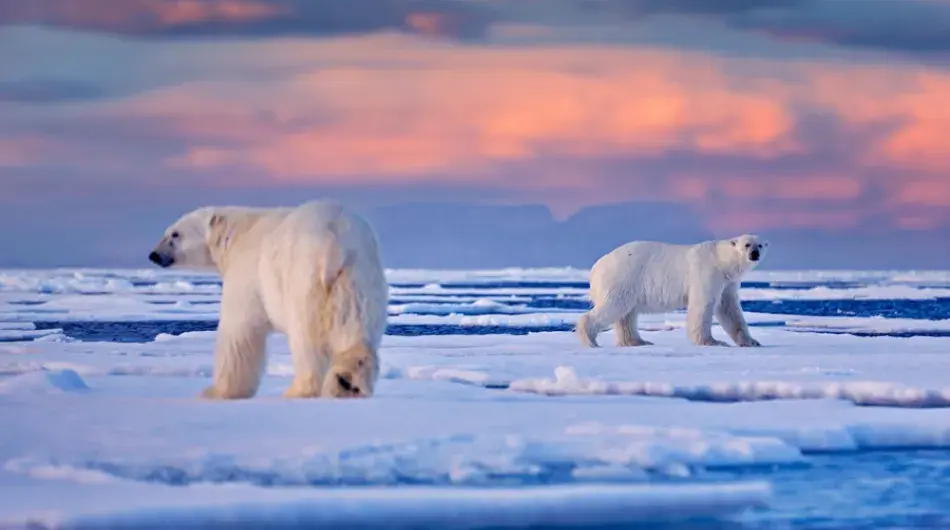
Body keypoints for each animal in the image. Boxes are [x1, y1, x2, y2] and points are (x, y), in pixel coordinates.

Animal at [148, 200, 389, 400]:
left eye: (175, 234)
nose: (154, 255)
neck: (235, 234)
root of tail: (335, 242)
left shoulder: (247, 272)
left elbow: (239, 332)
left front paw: (216, 392)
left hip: (302, 278)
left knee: (306, 340)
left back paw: (297, 390)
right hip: (358, 278)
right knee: (354, 326)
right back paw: (347, 383)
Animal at [575, 234, 768, 348]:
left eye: (760, 245)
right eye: (747, 245)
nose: (755, 254)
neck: (721, 259)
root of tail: (596, 266)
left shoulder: (728, 282)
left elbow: (730, 310)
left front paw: (752, 341)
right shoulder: (706, 273)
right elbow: (702, 305)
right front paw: (712, 341)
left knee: (626, 314)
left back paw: (638, 341)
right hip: (623, 277)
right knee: (614, 306)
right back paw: (590, 340)